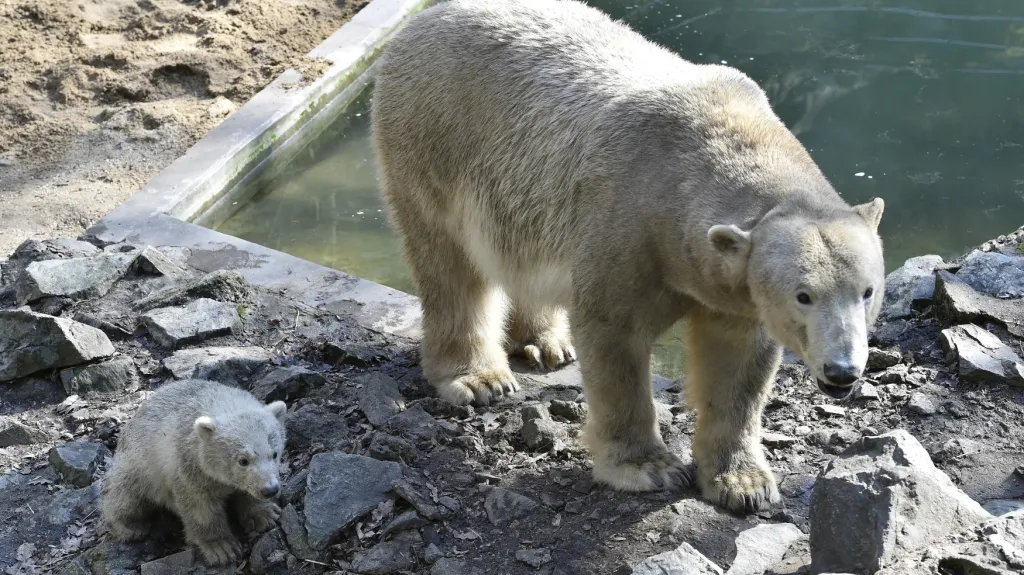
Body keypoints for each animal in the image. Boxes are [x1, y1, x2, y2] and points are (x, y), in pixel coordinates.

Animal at [372, 0, 884, 509]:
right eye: (803, 295)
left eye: (867, 292)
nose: (842, 372)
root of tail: (423, 19)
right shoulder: (627, 226)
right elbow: (613, 337)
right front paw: (649, 467)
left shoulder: (730, 284)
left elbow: (738, 362)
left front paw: (743, 483)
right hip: (433, 139)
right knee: (451, 267)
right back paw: (479, 378)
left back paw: (547, 343)